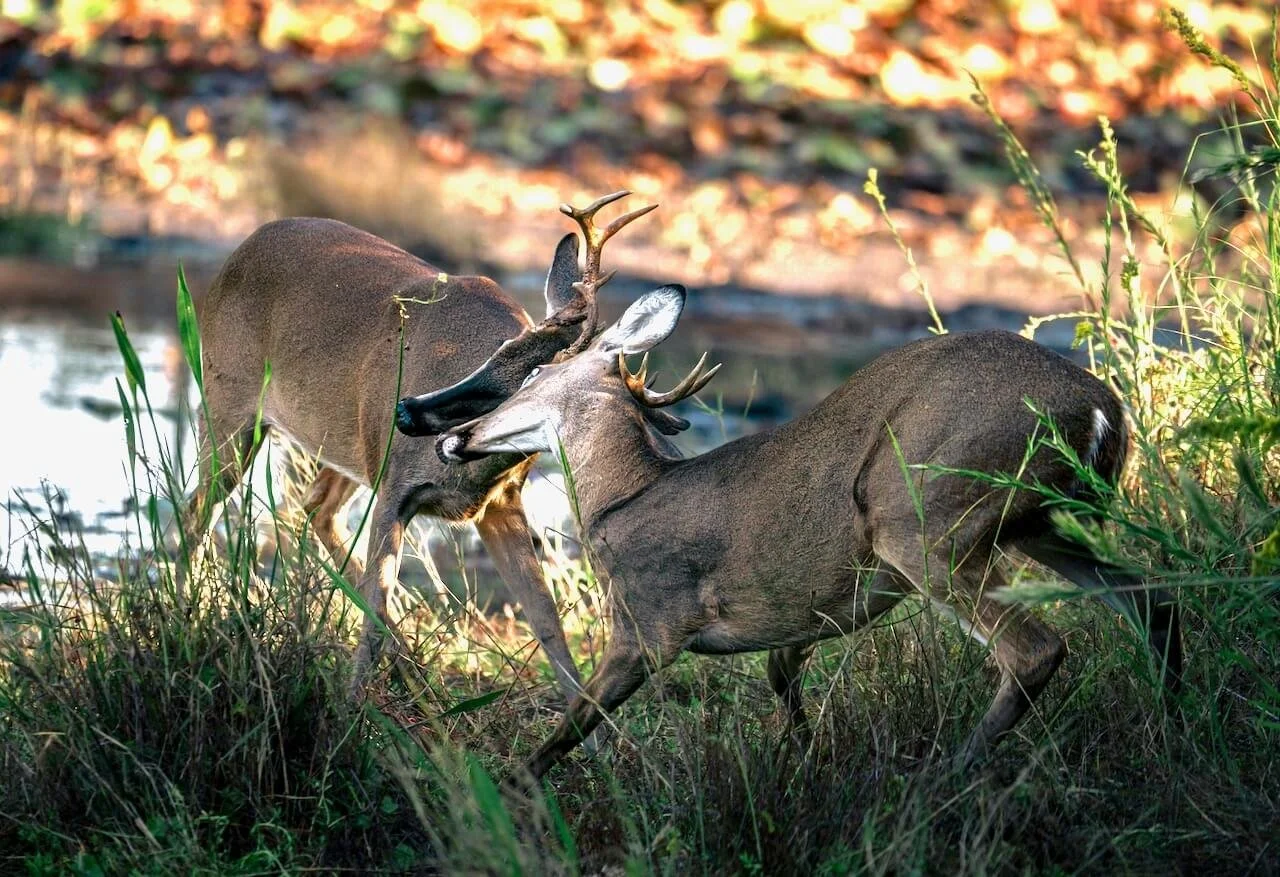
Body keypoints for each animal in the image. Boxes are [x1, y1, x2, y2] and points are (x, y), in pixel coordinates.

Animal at [184, 191, 658, 697]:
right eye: (499, 350)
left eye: (536, 382)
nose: (408, 410)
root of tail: (245, 244)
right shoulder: (397, 488)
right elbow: (375, 609)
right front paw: (353, 709)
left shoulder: (500, 501)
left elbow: (546, 620)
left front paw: (592, 717)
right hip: (229, 400)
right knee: (197, 509)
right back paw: (186, 616)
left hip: (353, 442)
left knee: (315, 506)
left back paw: (414, 668)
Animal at [407, 284, 1183, 780]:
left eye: (532, 371)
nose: (449, 434)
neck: (625, 497)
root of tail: (1101, 405)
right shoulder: (804, 606)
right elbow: (783, 678)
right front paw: (806, 759)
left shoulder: (650, 620)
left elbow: (570, 726)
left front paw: (506, 790)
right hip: (1039, 520)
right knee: (1150, 595)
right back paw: (1173, 725)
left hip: (921, 515)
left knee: (1035, 646)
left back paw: (942, 780)